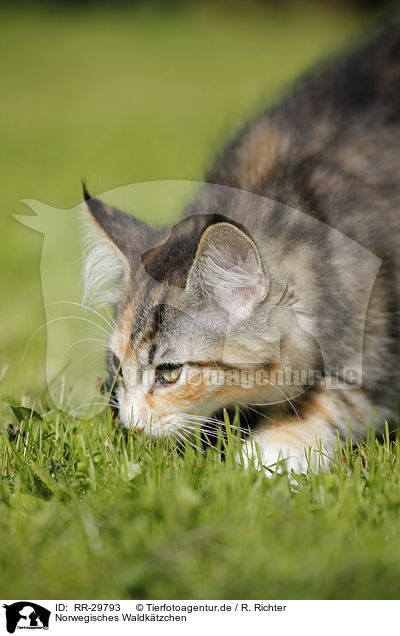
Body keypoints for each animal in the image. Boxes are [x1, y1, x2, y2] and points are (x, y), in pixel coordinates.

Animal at [83, 19, 400, 474]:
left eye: (169, 373)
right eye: (117, 366)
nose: (133, 426)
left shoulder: (375, 338)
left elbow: (328, 403)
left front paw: (255, 465)